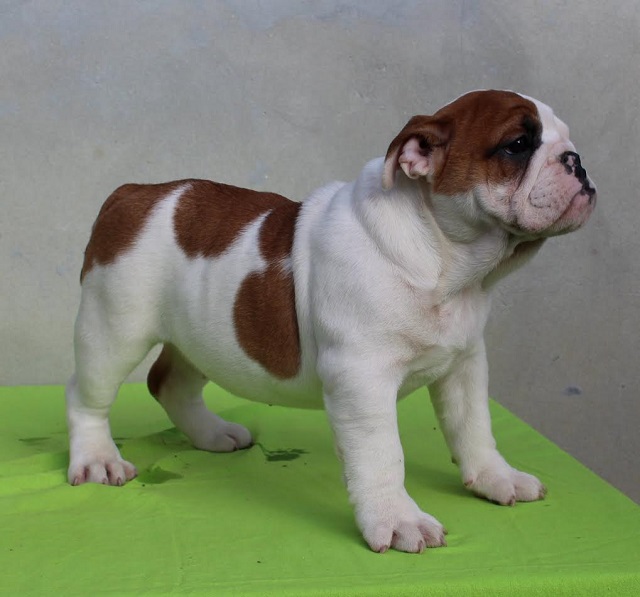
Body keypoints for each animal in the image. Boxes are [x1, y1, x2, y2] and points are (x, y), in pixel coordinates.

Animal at [65, 89, 596, 556]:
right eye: (518, 144)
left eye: (567, 139)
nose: (577, 161)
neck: (446, 261)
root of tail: (133, 193)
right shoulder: (362, 379)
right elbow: (383, 456)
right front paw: (398, 521)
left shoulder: (464, 364)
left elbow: (474, 428)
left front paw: (495, 478)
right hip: (114, 328)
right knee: (87, 395)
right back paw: (97, 458)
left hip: (200, 335)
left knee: (169, 382)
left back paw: (211, 435)